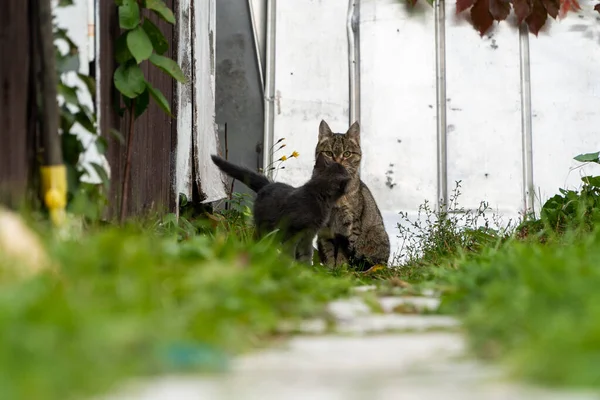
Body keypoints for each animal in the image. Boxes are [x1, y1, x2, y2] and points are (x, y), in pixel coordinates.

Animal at [211, 153, 352, 262]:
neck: (317, 194)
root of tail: (267, 184)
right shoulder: (293, 231)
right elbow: (290, 251)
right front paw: (289, 266)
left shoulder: (309, 235)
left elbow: (306, 255)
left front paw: (304, 270)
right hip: (265, 226)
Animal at [316, 118, 392, 268]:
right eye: (329, 153)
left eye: (347, 154)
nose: (338, 162)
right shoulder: (325, 226)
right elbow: (328, 249)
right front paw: (329, 268)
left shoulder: (350, 222)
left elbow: (344, 250)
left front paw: (341, 267)